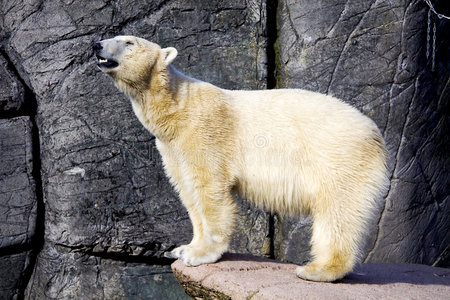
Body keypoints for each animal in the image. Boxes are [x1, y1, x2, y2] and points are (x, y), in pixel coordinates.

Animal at [93, 35, 388, 282]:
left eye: (129, 41)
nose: (97, 44)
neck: (178, 109)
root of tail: (376, 134)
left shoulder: (206, 133)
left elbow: (210, 189)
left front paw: (201, 254)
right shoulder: (173, 148)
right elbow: (187, 190)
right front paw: (185, 248)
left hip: (339, 157)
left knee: (338, 211)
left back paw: (317, 270)